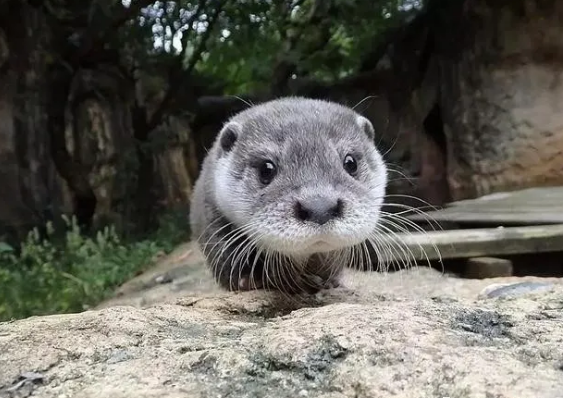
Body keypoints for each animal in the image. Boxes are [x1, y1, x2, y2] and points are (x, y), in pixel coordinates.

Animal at [189, 97, 388, 292]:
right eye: (266, 169)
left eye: (351, 163)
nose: (320, 207)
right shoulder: (211, 215)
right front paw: (249, 280)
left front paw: (327, 281)